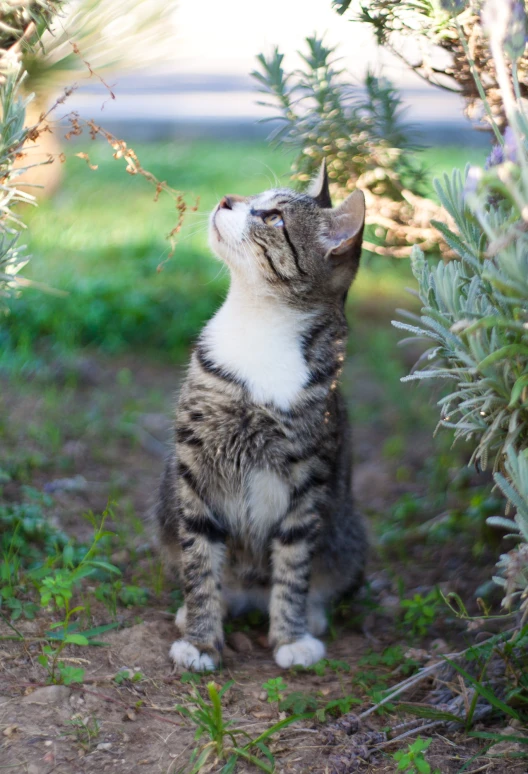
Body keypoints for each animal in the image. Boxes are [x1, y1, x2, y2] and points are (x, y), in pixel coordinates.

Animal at [157, 161, 368, 668]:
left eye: (273, 217)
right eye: (254, 198)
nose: (226, 199)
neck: (258, 322)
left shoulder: (308, 481)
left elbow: (293, 567)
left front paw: (290, 636)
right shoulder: (195, 472)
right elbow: (200, 564)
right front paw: (200, 641)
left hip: (350, 537)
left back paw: (310, 616)